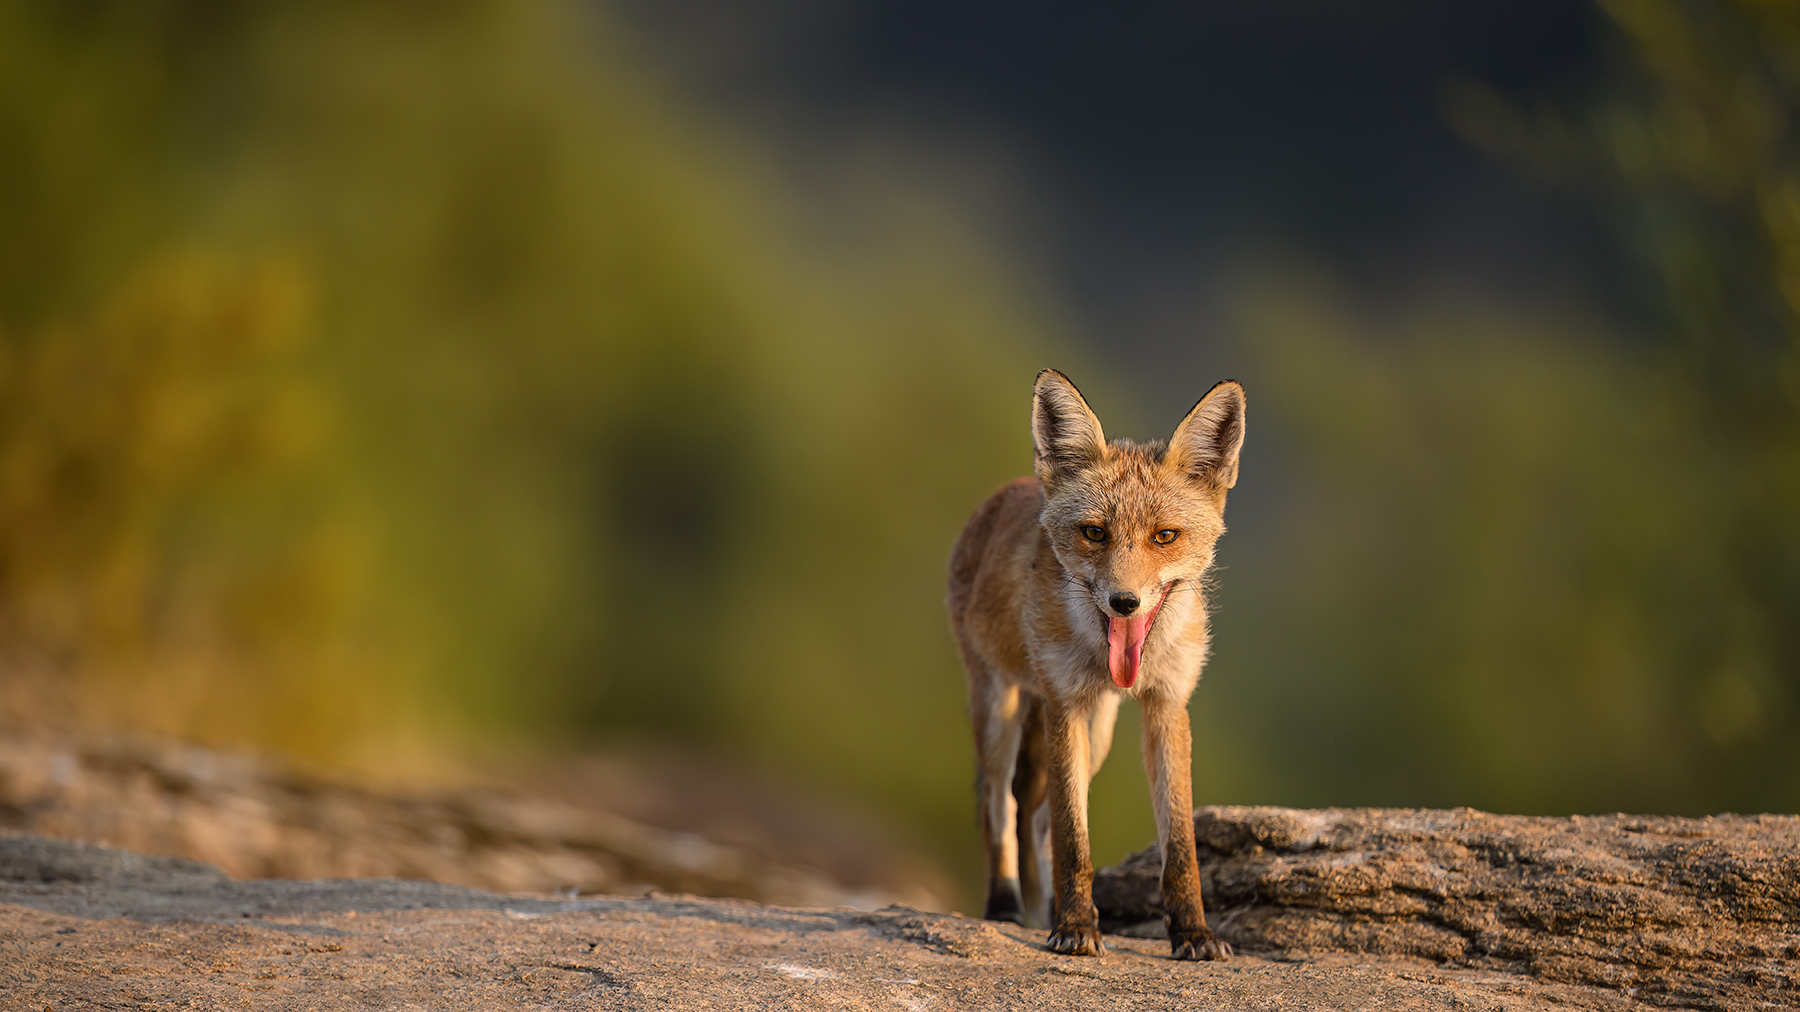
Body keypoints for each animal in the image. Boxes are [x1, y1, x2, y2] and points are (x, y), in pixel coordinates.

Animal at [946, 368, 1245, 961]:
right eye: (1094, 533)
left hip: (1100, 728)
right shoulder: (1063, 704)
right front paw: (1077, 927)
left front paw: (1194, 933)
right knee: (1002, 809)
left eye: (1165, 536)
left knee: (1037, 818)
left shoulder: (1167, 704)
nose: (1124, 602)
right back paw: (1006, 907)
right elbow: (1072, 836)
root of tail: (1003, 493)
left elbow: (1180, 845)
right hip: (1000, 708)